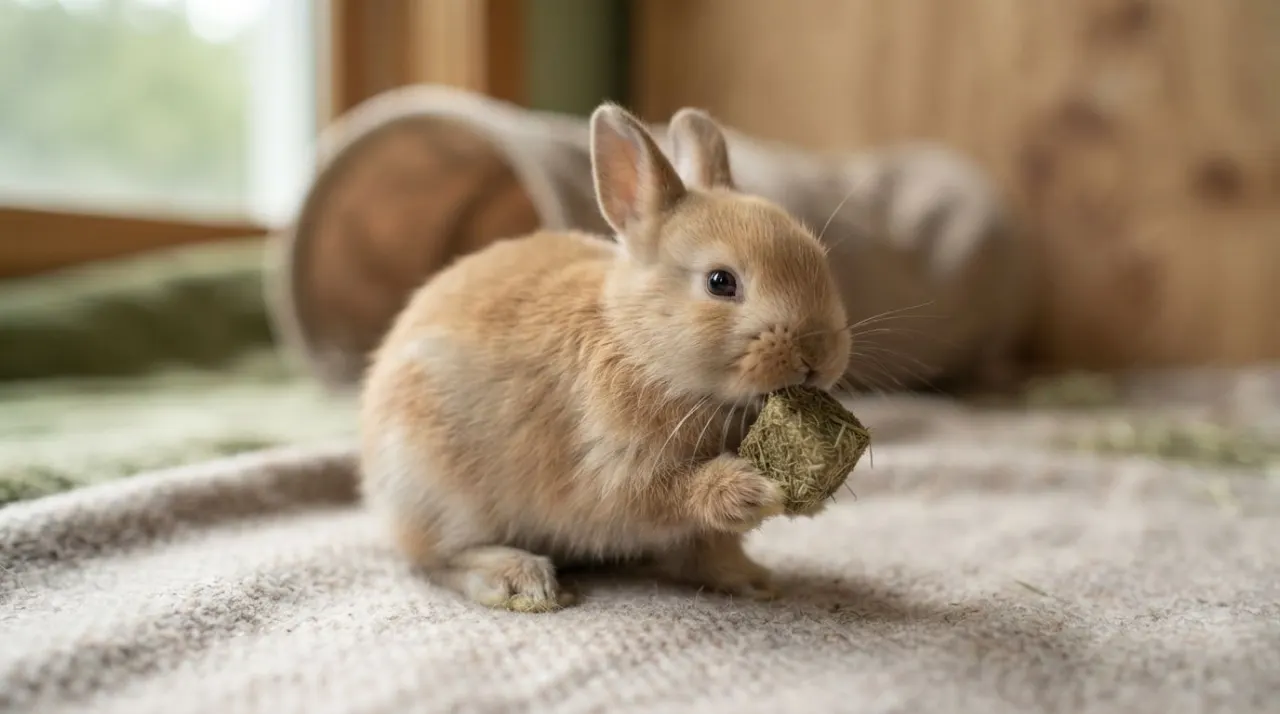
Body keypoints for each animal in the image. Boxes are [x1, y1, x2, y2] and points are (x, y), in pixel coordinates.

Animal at [357, 102, 852, 613]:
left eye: (817, 258)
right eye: (720, 282)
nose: (818, 357)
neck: (639, 345)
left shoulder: (695, 534)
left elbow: (711, 552)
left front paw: (757, 577)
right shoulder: (611, 474)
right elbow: (667, 496)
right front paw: (751, 489)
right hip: (433, 487)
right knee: (437, 558)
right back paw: (519, 580)